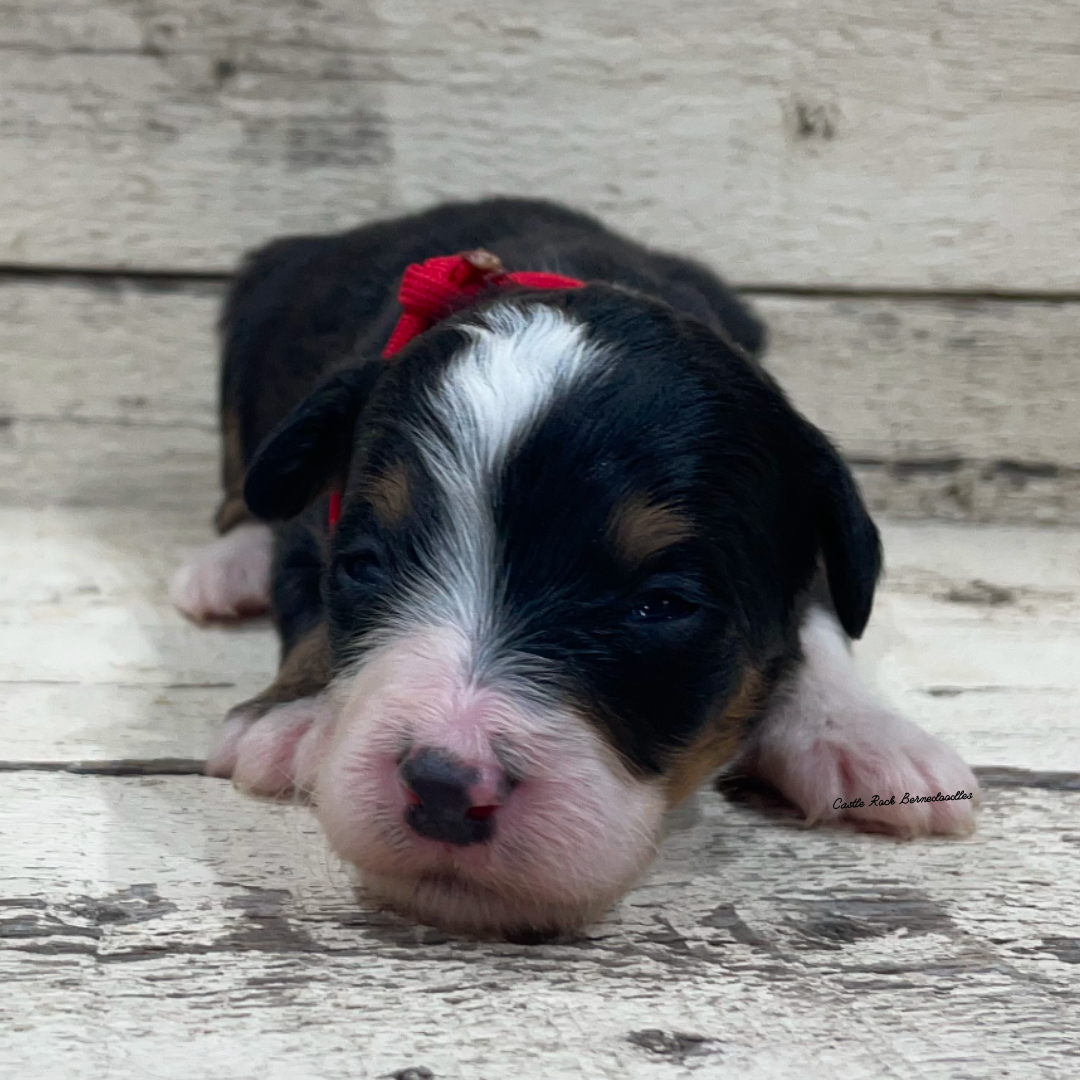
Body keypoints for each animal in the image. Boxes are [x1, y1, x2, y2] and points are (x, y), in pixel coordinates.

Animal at [170, 196, 980, 937]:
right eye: (365, 565)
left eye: (662, 606)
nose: (444, 788)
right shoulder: (318, 519)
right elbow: (306, 602)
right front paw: (294, 716)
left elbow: (815, 616)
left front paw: (862, 735)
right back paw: (227, 567)